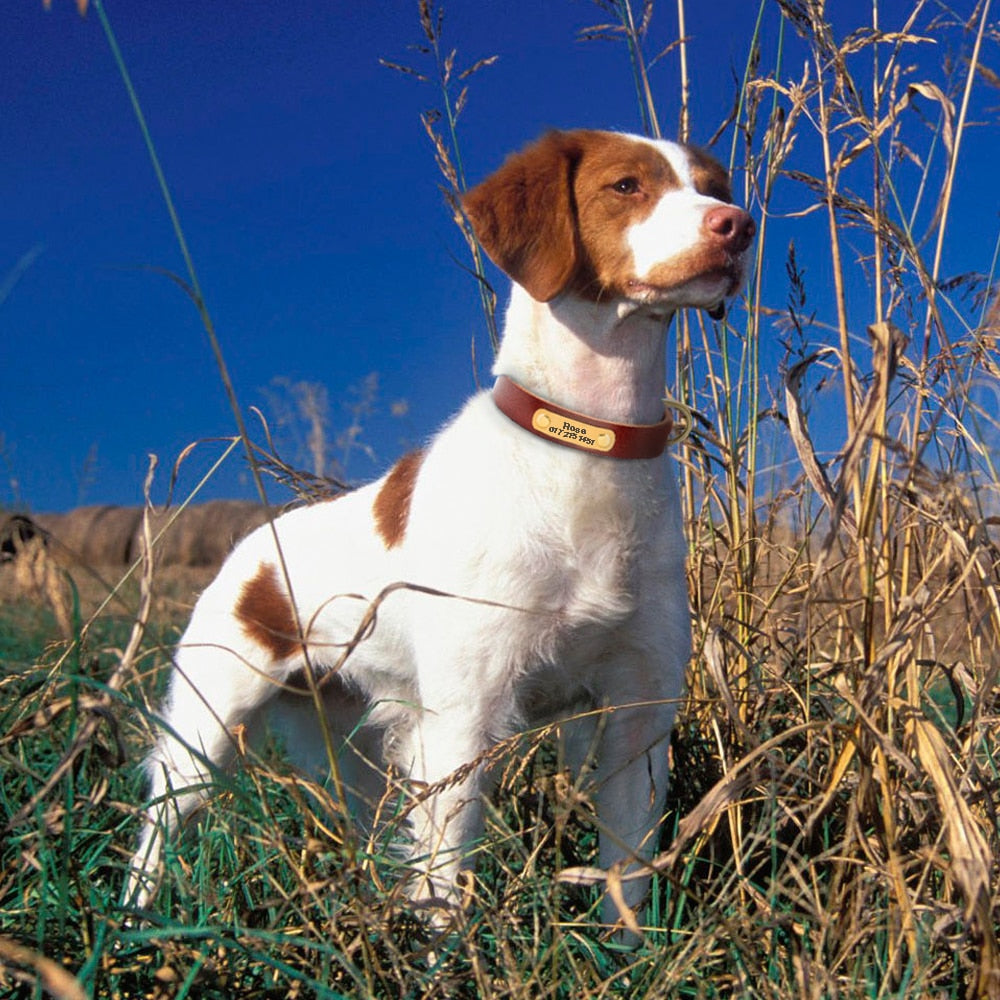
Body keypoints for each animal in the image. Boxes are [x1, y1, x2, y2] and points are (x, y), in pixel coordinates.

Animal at [123, 129, 752, 932]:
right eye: (625, 186)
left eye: (711, 186)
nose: (738, 225)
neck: (586, 446)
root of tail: (250, 549)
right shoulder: (461, 717)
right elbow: (448, 883)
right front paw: (449, 952)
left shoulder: (639, 712)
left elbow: (626, 873)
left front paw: (626, 948)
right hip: (209, 720)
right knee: (162, 820)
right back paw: (134, 922)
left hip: (354, 745)